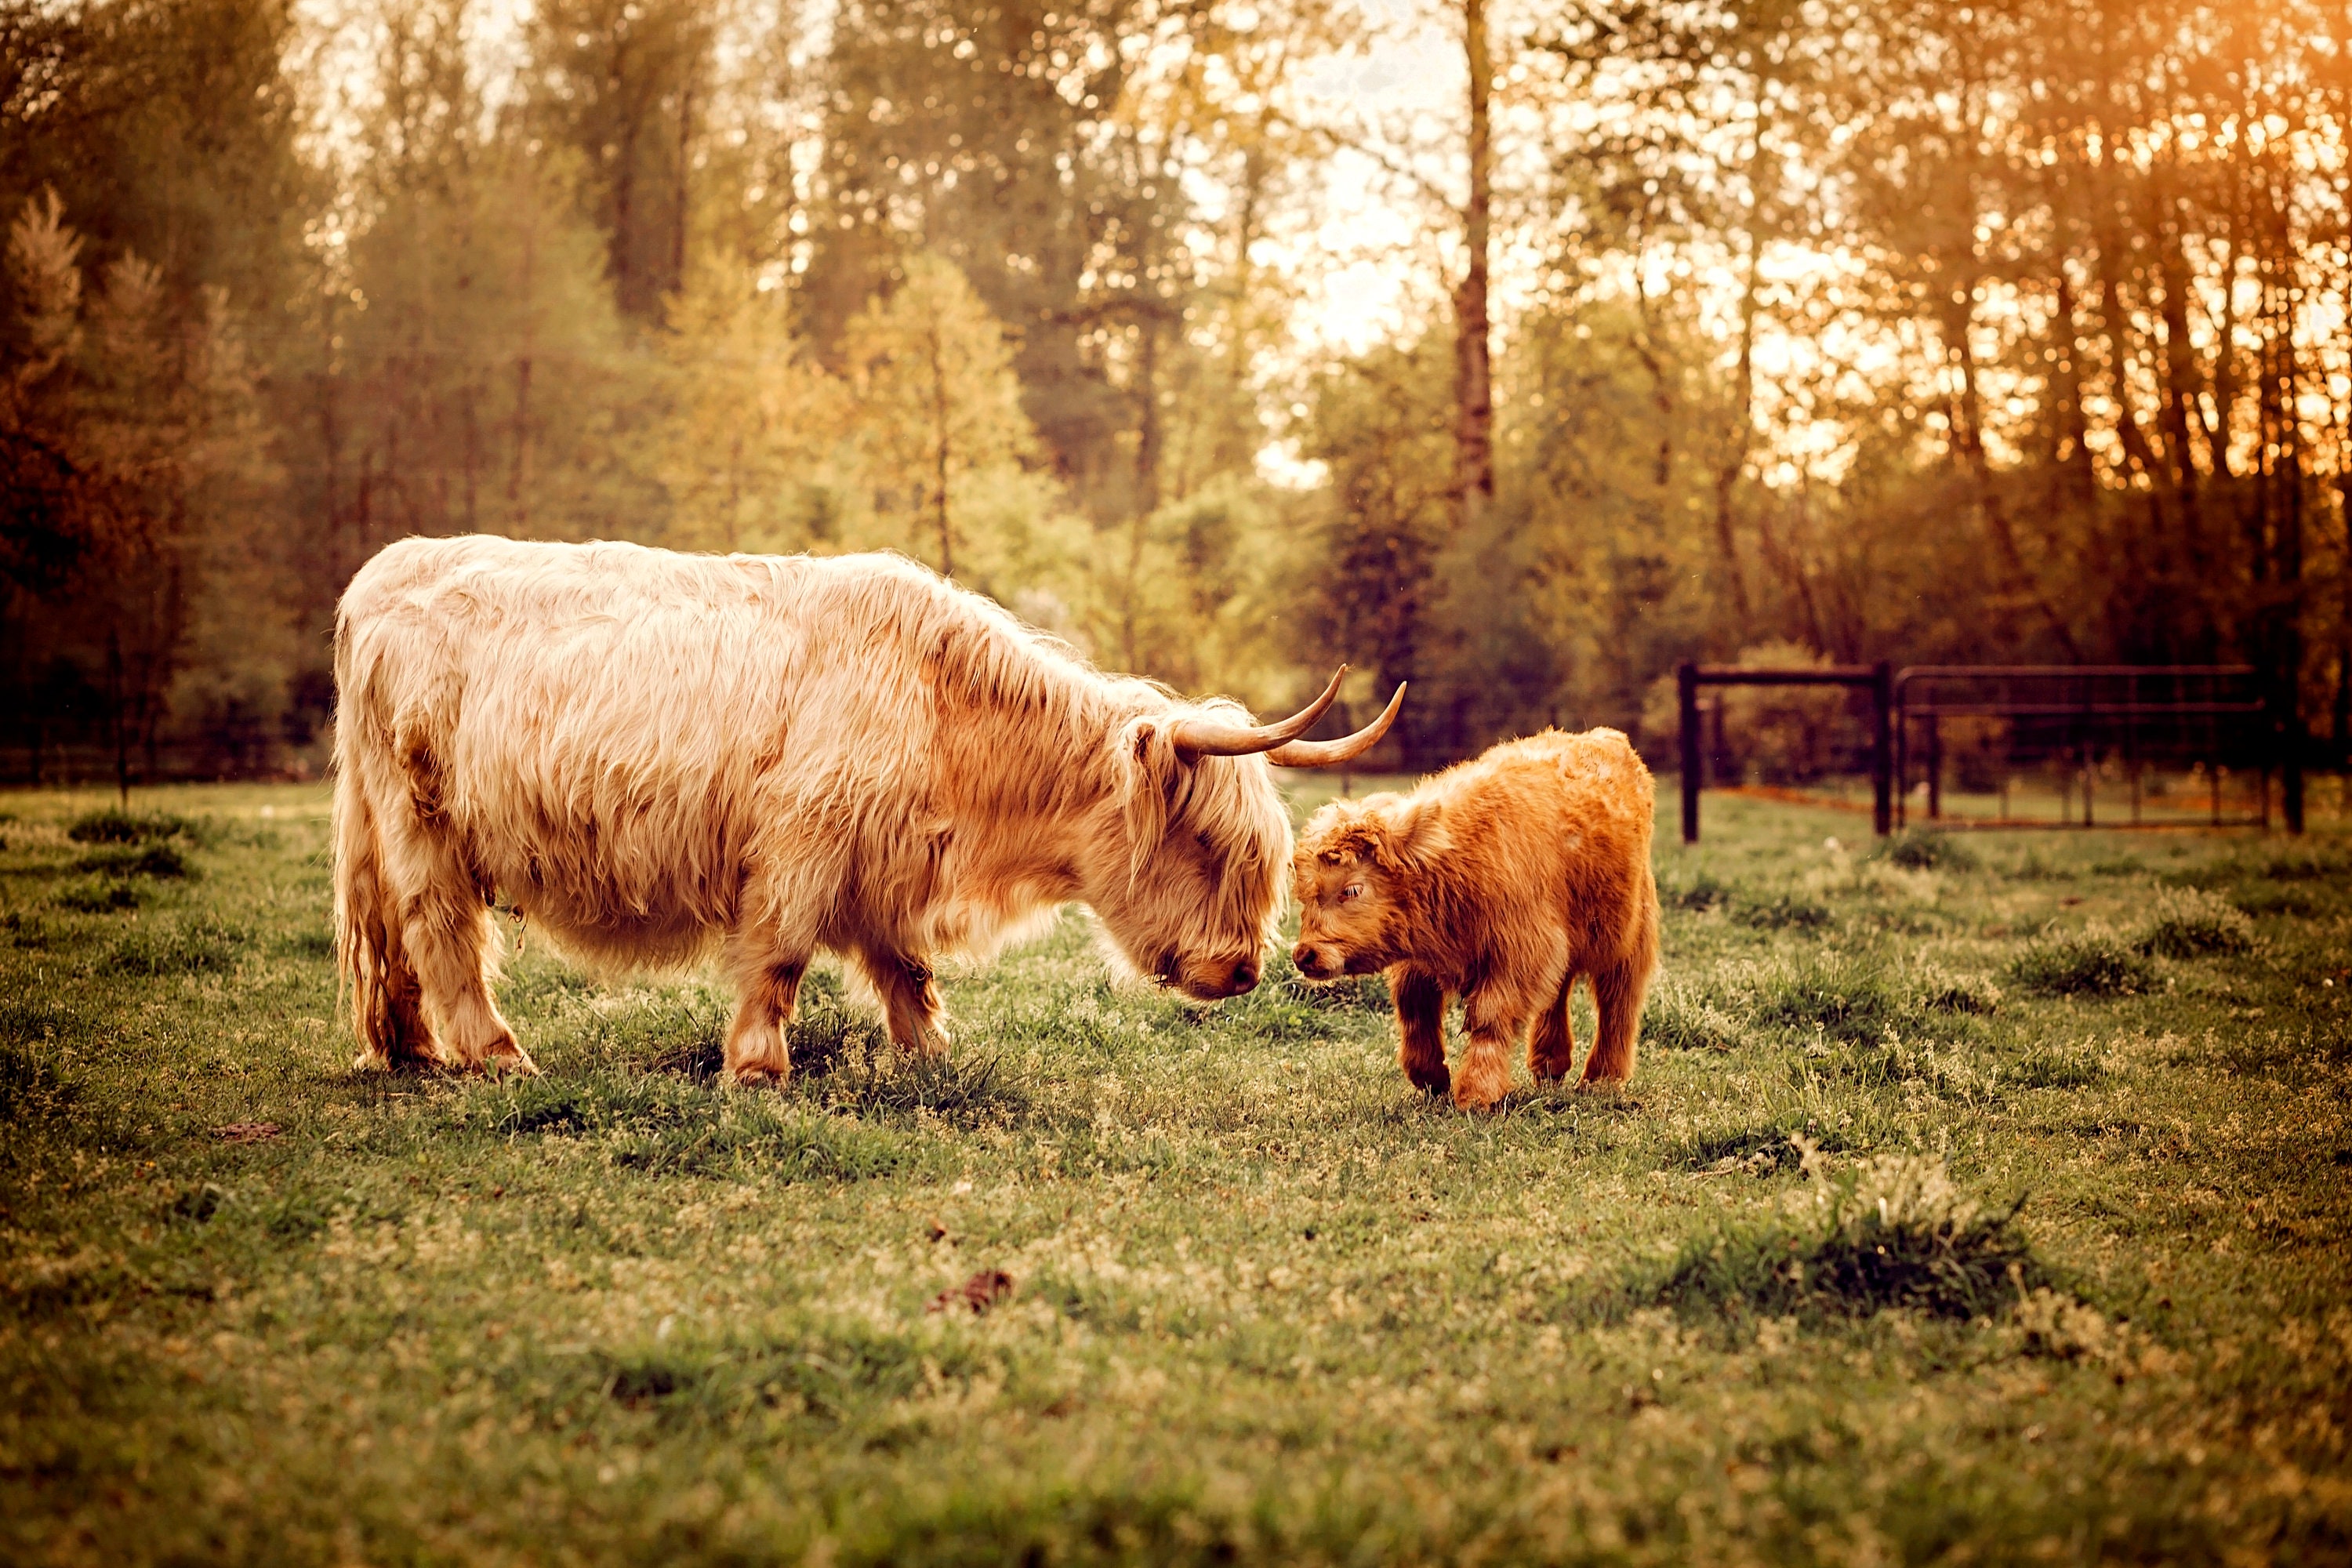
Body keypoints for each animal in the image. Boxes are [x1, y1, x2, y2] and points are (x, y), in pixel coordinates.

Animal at [331, 535, 1402, 1083]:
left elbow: (902, 963)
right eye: (1210, 844)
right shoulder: (804, 839)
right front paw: (758, 1068)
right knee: (440, 929)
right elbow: (779, 955)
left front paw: (930, 1049)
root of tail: (382, 570)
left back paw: (411, 1048)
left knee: (394, 939)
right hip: (423, 818)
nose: (1244, 971)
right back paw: (495, 1054)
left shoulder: (879, 861)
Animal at [1288, 728, 1660, 1110]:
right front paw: (1430, 1076)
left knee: (1620, 1000)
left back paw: (1603, 1077)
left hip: (1630, 929)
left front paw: (1476, 1092)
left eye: (1351, 889)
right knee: (1560, 991)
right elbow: (1413, 1006)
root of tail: (1606, 737)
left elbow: (1489, 1017)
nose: (1305, 955)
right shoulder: (1421, 958)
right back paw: (1549, 1063)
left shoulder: (1519, 952)